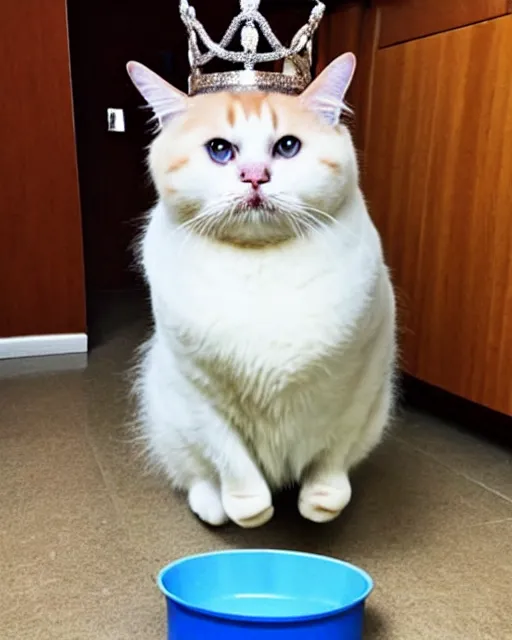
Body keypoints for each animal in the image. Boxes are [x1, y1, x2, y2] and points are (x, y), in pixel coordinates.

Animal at [127, 52, 396, 528]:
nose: (255, 176)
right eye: (219, 150)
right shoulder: (197, 391)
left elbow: (333, 452)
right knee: (195, 475)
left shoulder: (362, 379)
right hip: (165, 408)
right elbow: (230, 459)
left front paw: (322, 502)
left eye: (287, 147)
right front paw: (250, 509)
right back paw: (214, 507)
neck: (260, 265)